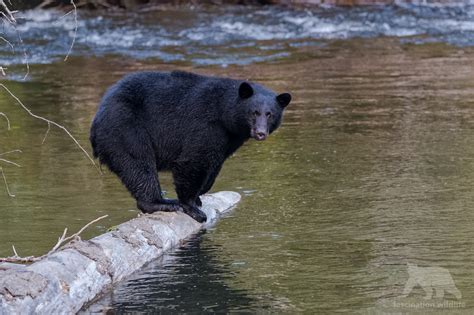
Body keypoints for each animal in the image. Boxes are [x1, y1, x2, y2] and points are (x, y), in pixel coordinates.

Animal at [88, 71, 288, 223]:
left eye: (270, 114)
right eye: (254, 112)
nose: (260, 133)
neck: (224, 113)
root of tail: (97, 118)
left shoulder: (228, 139)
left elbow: (214, 164)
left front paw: (200, 194)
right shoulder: (204, 124)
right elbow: (193, 160)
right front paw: (191, 206)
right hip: (125, 127)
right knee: (138, 163)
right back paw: (161, 202)